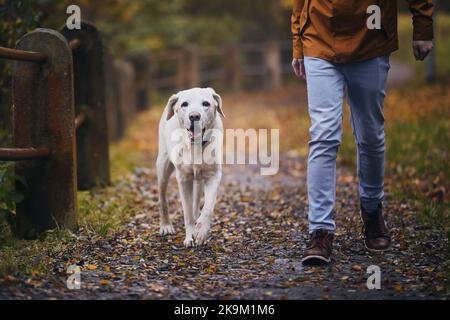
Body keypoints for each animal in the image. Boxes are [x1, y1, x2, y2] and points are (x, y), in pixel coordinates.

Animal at [156, 87, 225, 248]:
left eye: (206, 103)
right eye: (184, 104)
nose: (194, 116)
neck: (196, 147)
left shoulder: (214, 176)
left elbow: (208, 208)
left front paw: (200, 232)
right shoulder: (183, 179)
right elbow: (187, 213)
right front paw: (189, 237)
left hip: (198, 180)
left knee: (196, 202)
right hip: (163, 167)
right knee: (162, 197)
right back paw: (166, 225)